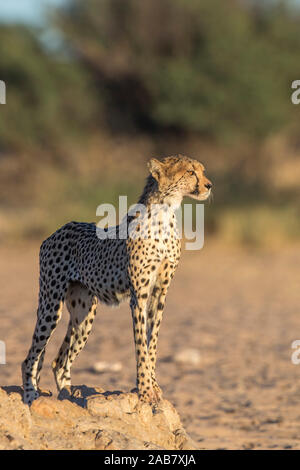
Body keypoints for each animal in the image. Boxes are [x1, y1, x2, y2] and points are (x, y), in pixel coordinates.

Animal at [21, 154, 211, 404]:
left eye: (202, 170)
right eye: (190, 172)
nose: (209, 185)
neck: (166, 212)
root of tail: (57, 230)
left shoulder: (159, 293)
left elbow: (152, 342)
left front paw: (154, 386)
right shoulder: (138, 296)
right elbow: (141, 345)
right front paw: (145, 390)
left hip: (84, 314)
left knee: (59, 362)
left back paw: (67, 396)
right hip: (51, 305)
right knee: (31, 357)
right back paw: (31, 394)